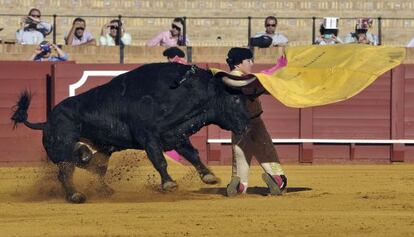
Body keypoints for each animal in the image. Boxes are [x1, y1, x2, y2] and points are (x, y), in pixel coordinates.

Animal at [10, 63, 249, 204]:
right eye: (236, 99)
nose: (247, 126)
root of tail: (47, 121)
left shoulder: (175, 134)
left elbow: (193, 154)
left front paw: (209, 176)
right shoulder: (148, 136)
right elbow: (159, 160)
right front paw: (169, 184)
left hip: (99, 149)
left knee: (94, 165)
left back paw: (103, 188)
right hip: (61, 147)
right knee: (66, 171)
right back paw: (76, 195)